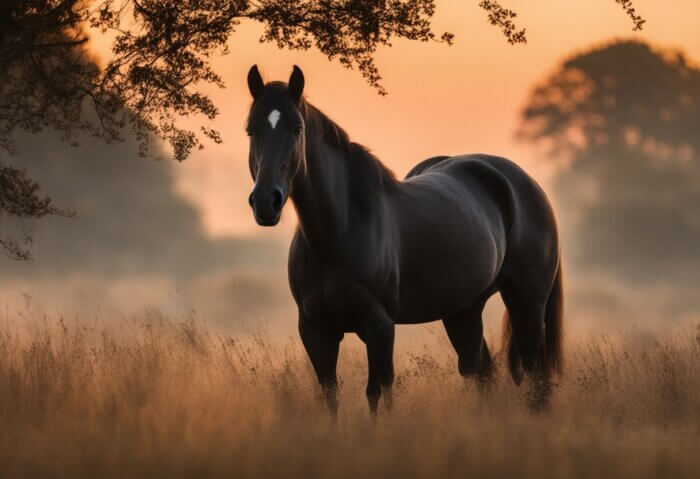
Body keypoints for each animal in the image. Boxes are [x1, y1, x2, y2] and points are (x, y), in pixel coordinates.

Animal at [246, 65, 564, 414]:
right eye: (251, 130)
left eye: (296, 129)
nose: (266, 202)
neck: (337, 234)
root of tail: (521, 181)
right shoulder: (316, 331)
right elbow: (331, 397)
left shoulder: (379, 328)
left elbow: (378, 393)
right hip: (464, 310)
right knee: (482, 372)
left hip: (528, 302)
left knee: (535, 376)